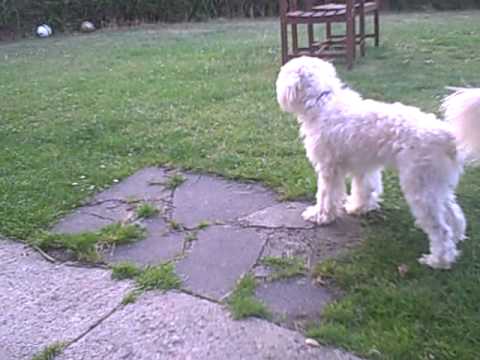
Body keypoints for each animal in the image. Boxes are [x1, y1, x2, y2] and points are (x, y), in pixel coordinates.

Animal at [276, 56, 480, 268]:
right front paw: (358, 208)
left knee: (441, 229)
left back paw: (438, 260)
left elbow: (326, 196)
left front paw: (320, 215)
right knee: (454, 215)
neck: (322, 101)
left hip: (420, 187)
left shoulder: (329, 169)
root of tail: (448, 135)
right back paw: (456, 240)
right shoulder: (364, 168)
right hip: (436, 185)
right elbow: (363, 190)